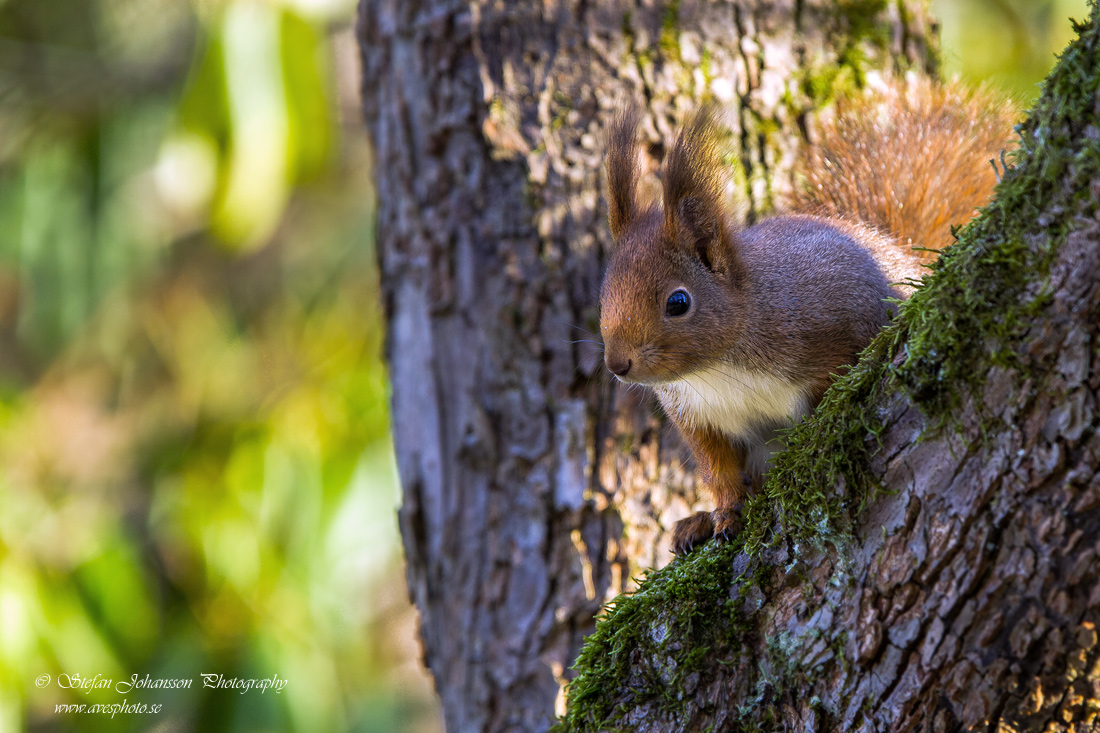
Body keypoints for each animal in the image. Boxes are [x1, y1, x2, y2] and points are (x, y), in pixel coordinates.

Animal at [598, 77, 1016, 550]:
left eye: (678, 302)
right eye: (604, 295)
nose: (618, 364)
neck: (720, 370)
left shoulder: (833, 322)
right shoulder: (699, 417)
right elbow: (719, 470)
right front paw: (723, 513)